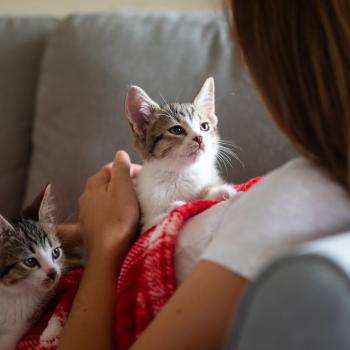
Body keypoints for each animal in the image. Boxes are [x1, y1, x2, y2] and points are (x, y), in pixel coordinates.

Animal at [124, 76, 237, 230]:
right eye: (176, 130)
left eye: (204, 126)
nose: (199, 137)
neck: (182, 173)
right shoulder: (145, 223)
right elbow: (155, 221)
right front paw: (175, 207)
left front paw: (220, 192)